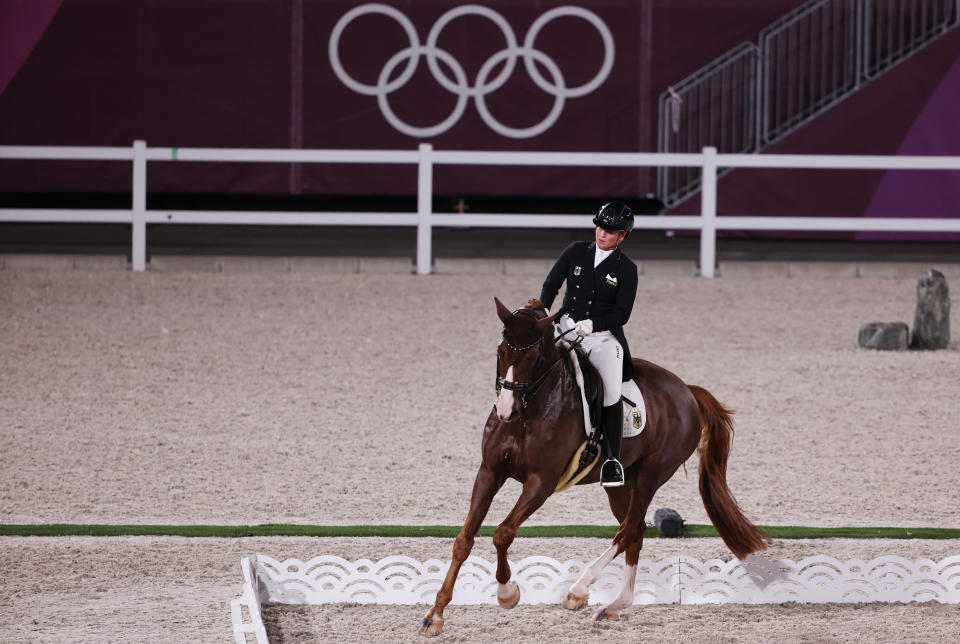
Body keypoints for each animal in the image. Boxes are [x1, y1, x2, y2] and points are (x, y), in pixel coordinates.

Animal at [420, 298, 764, 640]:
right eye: (501, 350)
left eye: (533, 357)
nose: (505, 411)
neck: (530, 411)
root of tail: (688, 391)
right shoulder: (489, 472)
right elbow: (464, 540)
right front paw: (435, 615)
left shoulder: (541, 483)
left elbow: (503, 533)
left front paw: (507, 593)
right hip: (622, 484)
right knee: (636, 531)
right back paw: (614, 606)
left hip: (651, 476)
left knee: (627, 532)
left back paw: (579, 590)